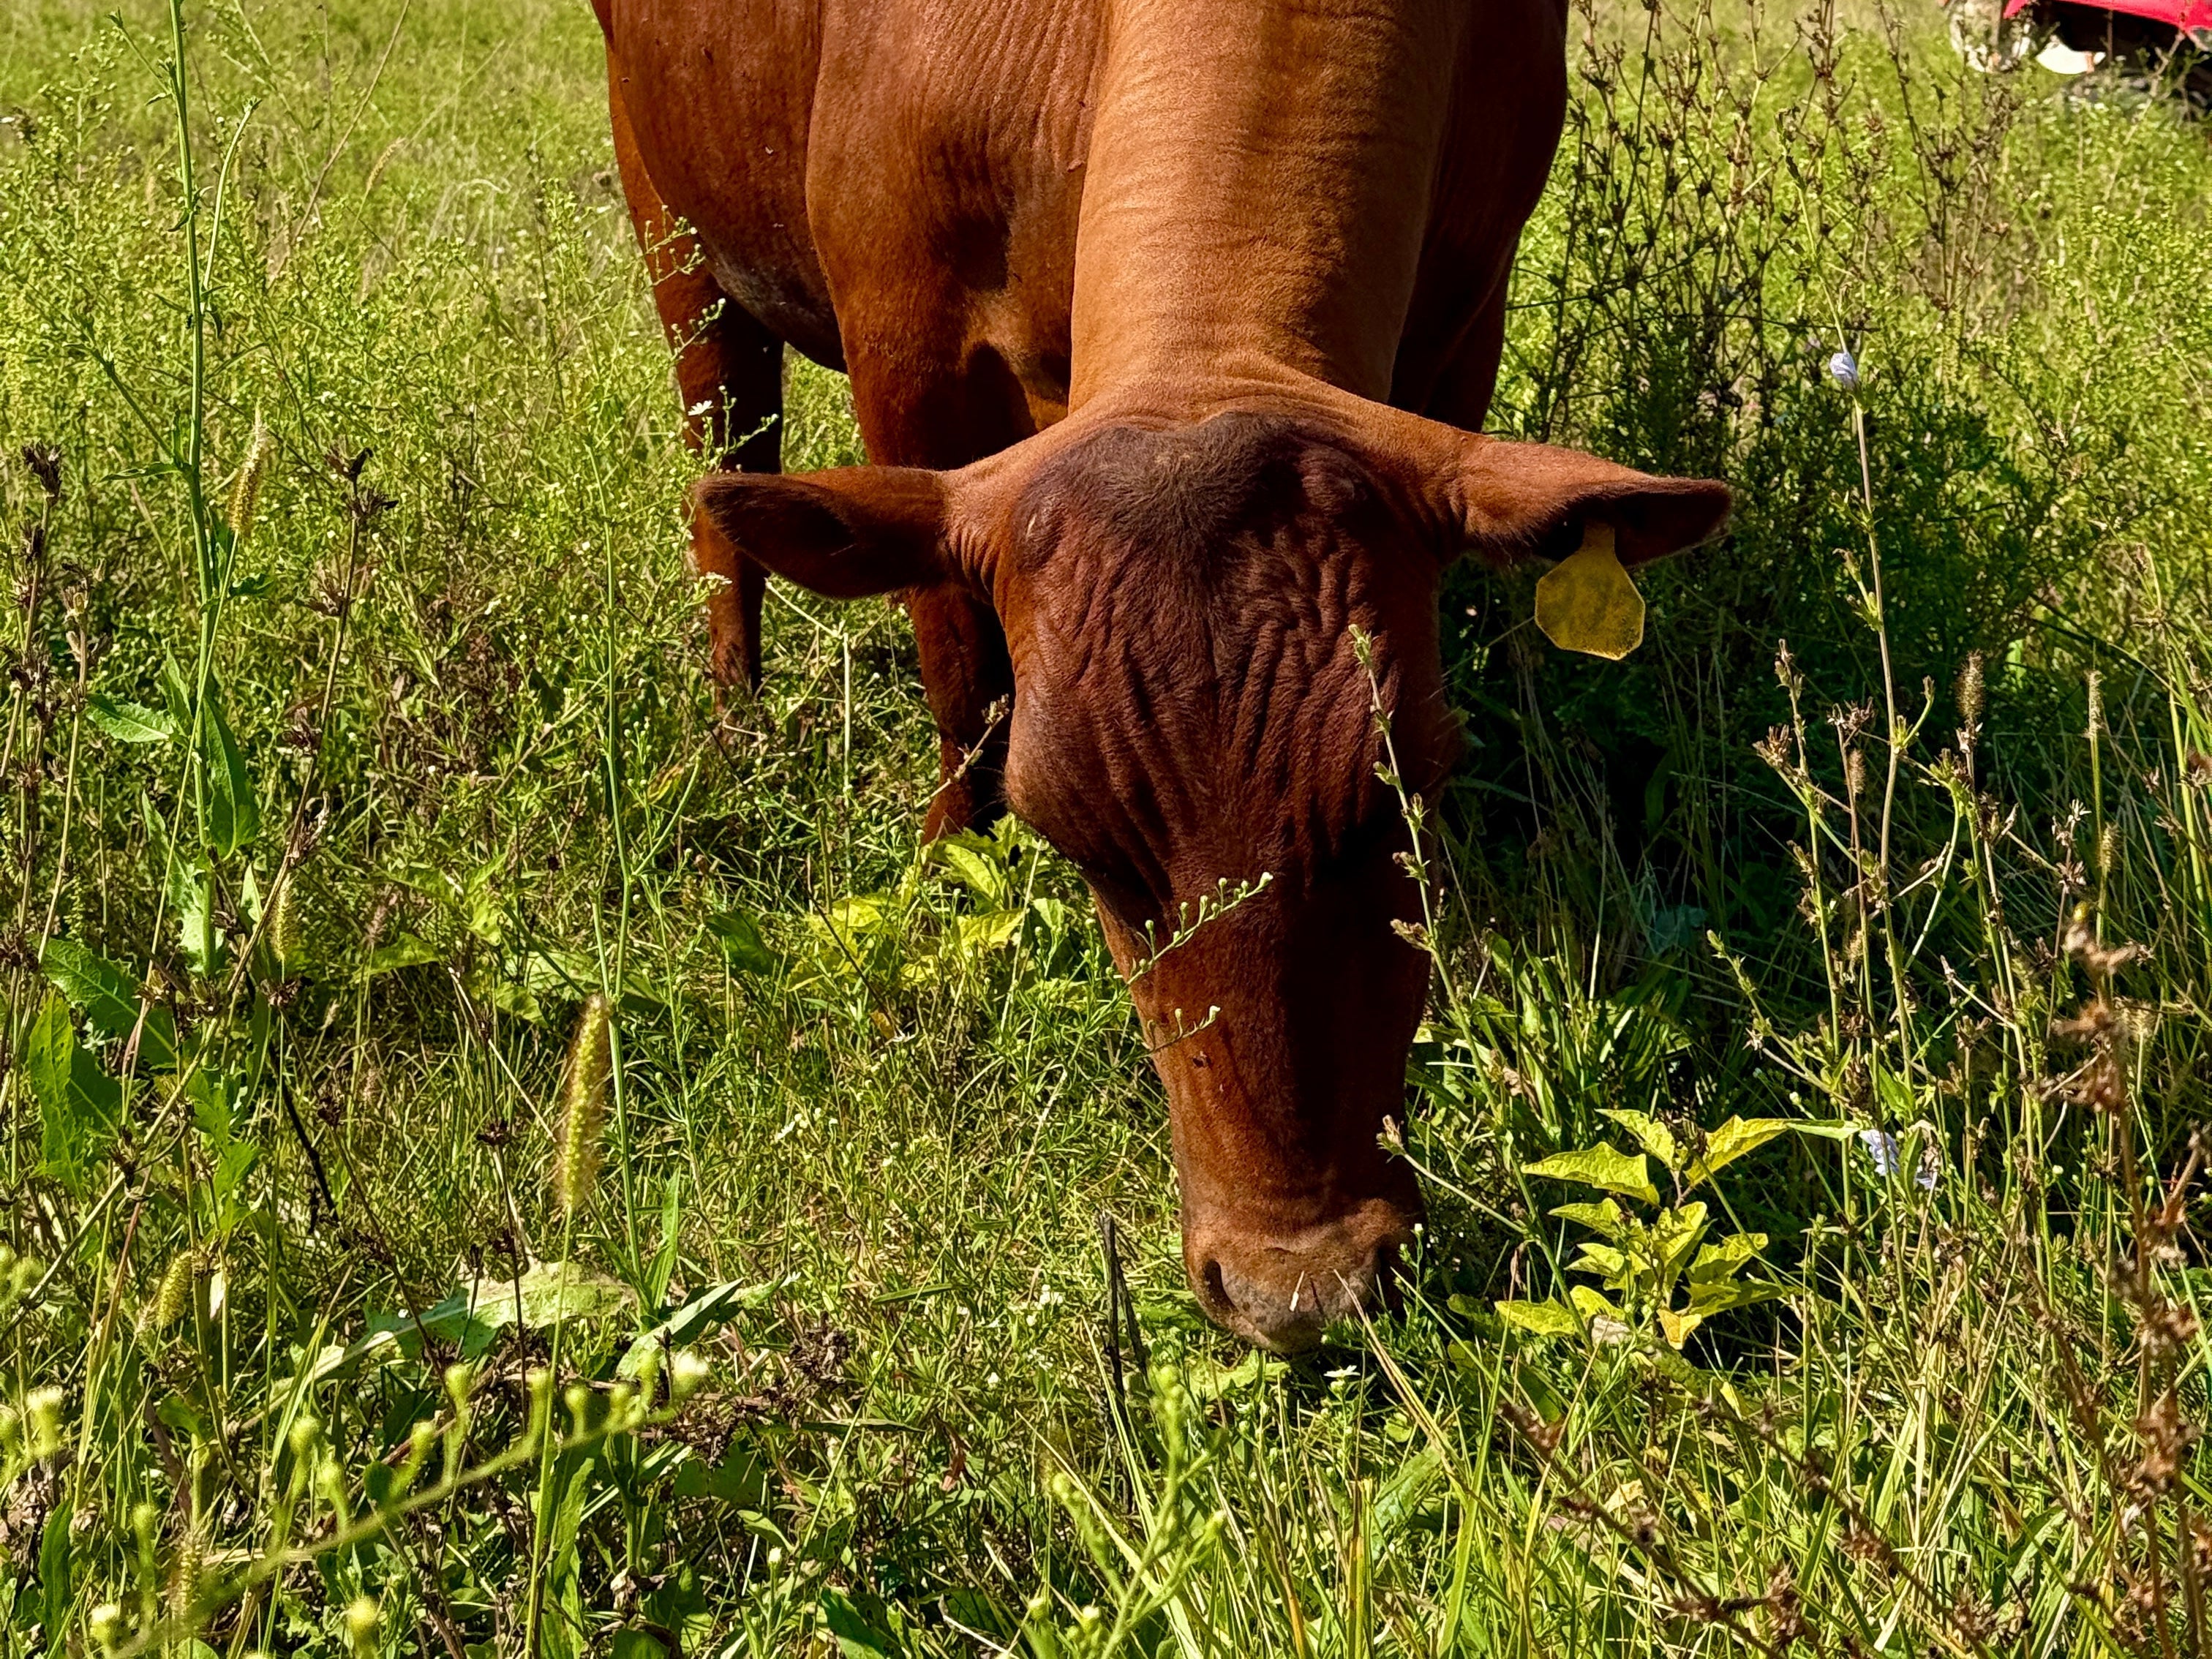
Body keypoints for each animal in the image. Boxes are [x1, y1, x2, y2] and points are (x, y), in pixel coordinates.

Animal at [594, 0, 1730, 1351]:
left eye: (1403, 800)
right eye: (1088, 853)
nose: (1298, 1286)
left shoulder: (1464, 320)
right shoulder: (904, 356)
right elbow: (960, 687)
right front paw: (941, 899)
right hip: (669, 209)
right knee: (724, 475)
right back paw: (735, 735)